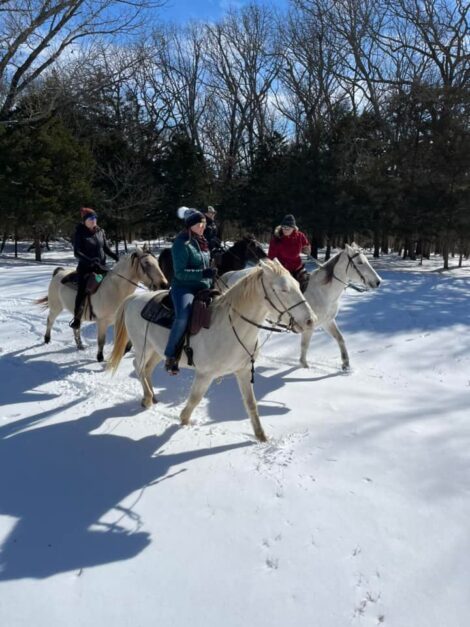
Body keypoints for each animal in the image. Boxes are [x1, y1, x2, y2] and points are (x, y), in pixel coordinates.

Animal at [37, 248, 169, 360]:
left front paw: (124, 351)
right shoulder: (102, 322)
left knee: (76, 326)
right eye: (146, 263)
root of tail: (60, 272)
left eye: (157, 263)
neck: (114, 289)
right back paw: (47, 339)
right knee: (50, 320)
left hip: (78, 314)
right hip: (56, 307)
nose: (164, 285)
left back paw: (79, 345)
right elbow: (101, 341)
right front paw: (100, 358)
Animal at [109, 258, 316, 442]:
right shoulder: (205, 374)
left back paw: (153, 396)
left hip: (157, 351)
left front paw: (261, 436)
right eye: (283, 289)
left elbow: (251, 404)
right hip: (142, 347)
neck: (230, 326)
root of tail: (133, 298)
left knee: (147, 369)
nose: (311, 320)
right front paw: (184, 422)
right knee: (137, 366)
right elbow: (194, 399)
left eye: (298, 285)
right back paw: (147, 398)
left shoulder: (243, 371)